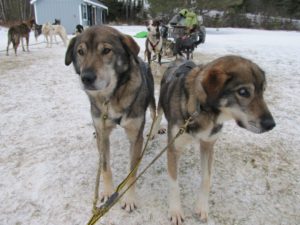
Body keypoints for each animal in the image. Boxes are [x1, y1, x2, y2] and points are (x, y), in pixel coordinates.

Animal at [64, 25, 156, 212]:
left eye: (106, 50)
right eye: (80, 52)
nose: (86, 78)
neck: (112, 97)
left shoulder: (135, 137)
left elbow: (131, 172)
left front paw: (129, 198)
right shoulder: (103, 134)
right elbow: (105, 167)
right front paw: (107, 192)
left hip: (151, 99)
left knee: (155, 112)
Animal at [154, 55, 276, 224]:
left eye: (263, 91)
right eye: (243, 92)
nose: (271, 125)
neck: (202, 110)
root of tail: (179, 59)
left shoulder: (208, 145)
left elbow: (207, 178)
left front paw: (202, 207)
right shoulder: (174, 148)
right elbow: (174, 184)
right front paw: (176, 211)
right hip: (160, 106)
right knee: (156, 117)